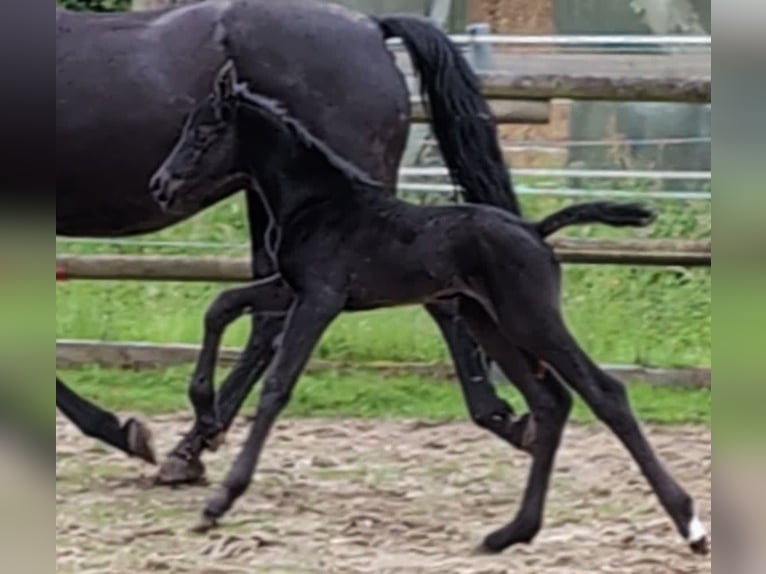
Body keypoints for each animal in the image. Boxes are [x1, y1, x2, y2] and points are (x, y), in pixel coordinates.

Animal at [54, 2, 520, 482]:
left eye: (200, 132)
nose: (160, 185)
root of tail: (371, 27)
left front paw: (120, 431)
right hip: (273, 204)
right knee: (270, 319)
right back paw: (193, 446)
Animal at [152, 63, 712, 560]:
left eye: (204, 133)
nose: (161, 185)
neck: (317, 202)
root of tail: (535, 231)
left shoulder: (321, 299)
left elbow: (276, 387)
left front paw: (220, 500)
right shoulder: (290, 289)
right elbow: (220, 306)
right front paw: (206, 418)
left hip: (529, 318)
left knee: (605, 393)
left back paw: (690, 525)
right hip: (489, 322)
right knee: (551, 402)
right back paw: (510, 533)